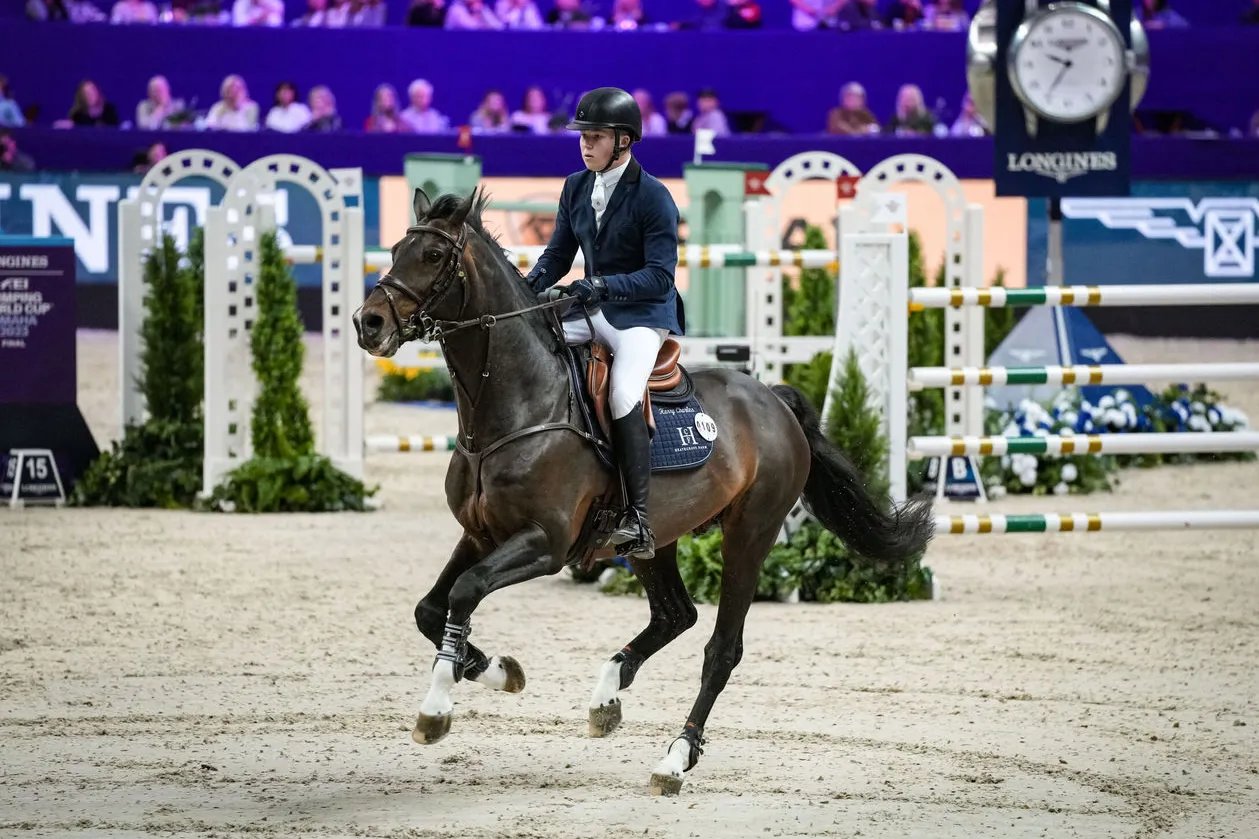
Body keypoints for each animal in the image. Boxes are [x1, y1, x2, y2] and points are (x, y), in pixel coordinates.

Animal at [352, 186, 936, 796]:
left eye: (433, 256)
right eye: (393, 250)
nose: (368, 322)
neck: (515, 406)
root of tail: (772, 400)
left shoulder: (545, 543)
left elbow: (464, 592)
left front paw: (436, 710)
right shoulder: (479, 534)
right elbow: (430, 608)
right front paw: (498, 671)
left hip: (749, 534)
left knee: (721, 649)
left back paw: (674, 759)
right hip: (655, 541)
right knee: (675, 614)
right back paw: (607, 695)